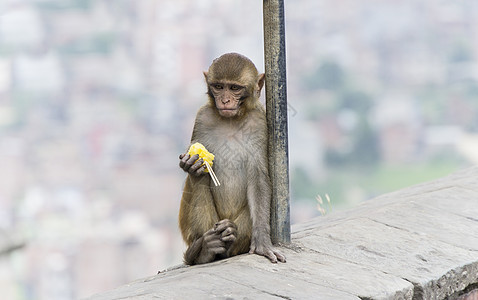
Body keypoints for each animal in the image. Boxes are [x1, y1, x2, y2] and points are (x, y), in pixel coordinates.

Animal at [178, 53, 284, 264]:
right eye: (219, 86)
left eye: (235, 88)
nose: (225, 100)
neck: (231, 120)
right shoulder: (202, 117)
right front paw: (191, 165)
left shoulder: (259, 123)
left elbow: (259, 178)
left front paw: (262, 241)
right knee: (198, 183)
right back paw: (205, 249)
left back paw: (230, 233)